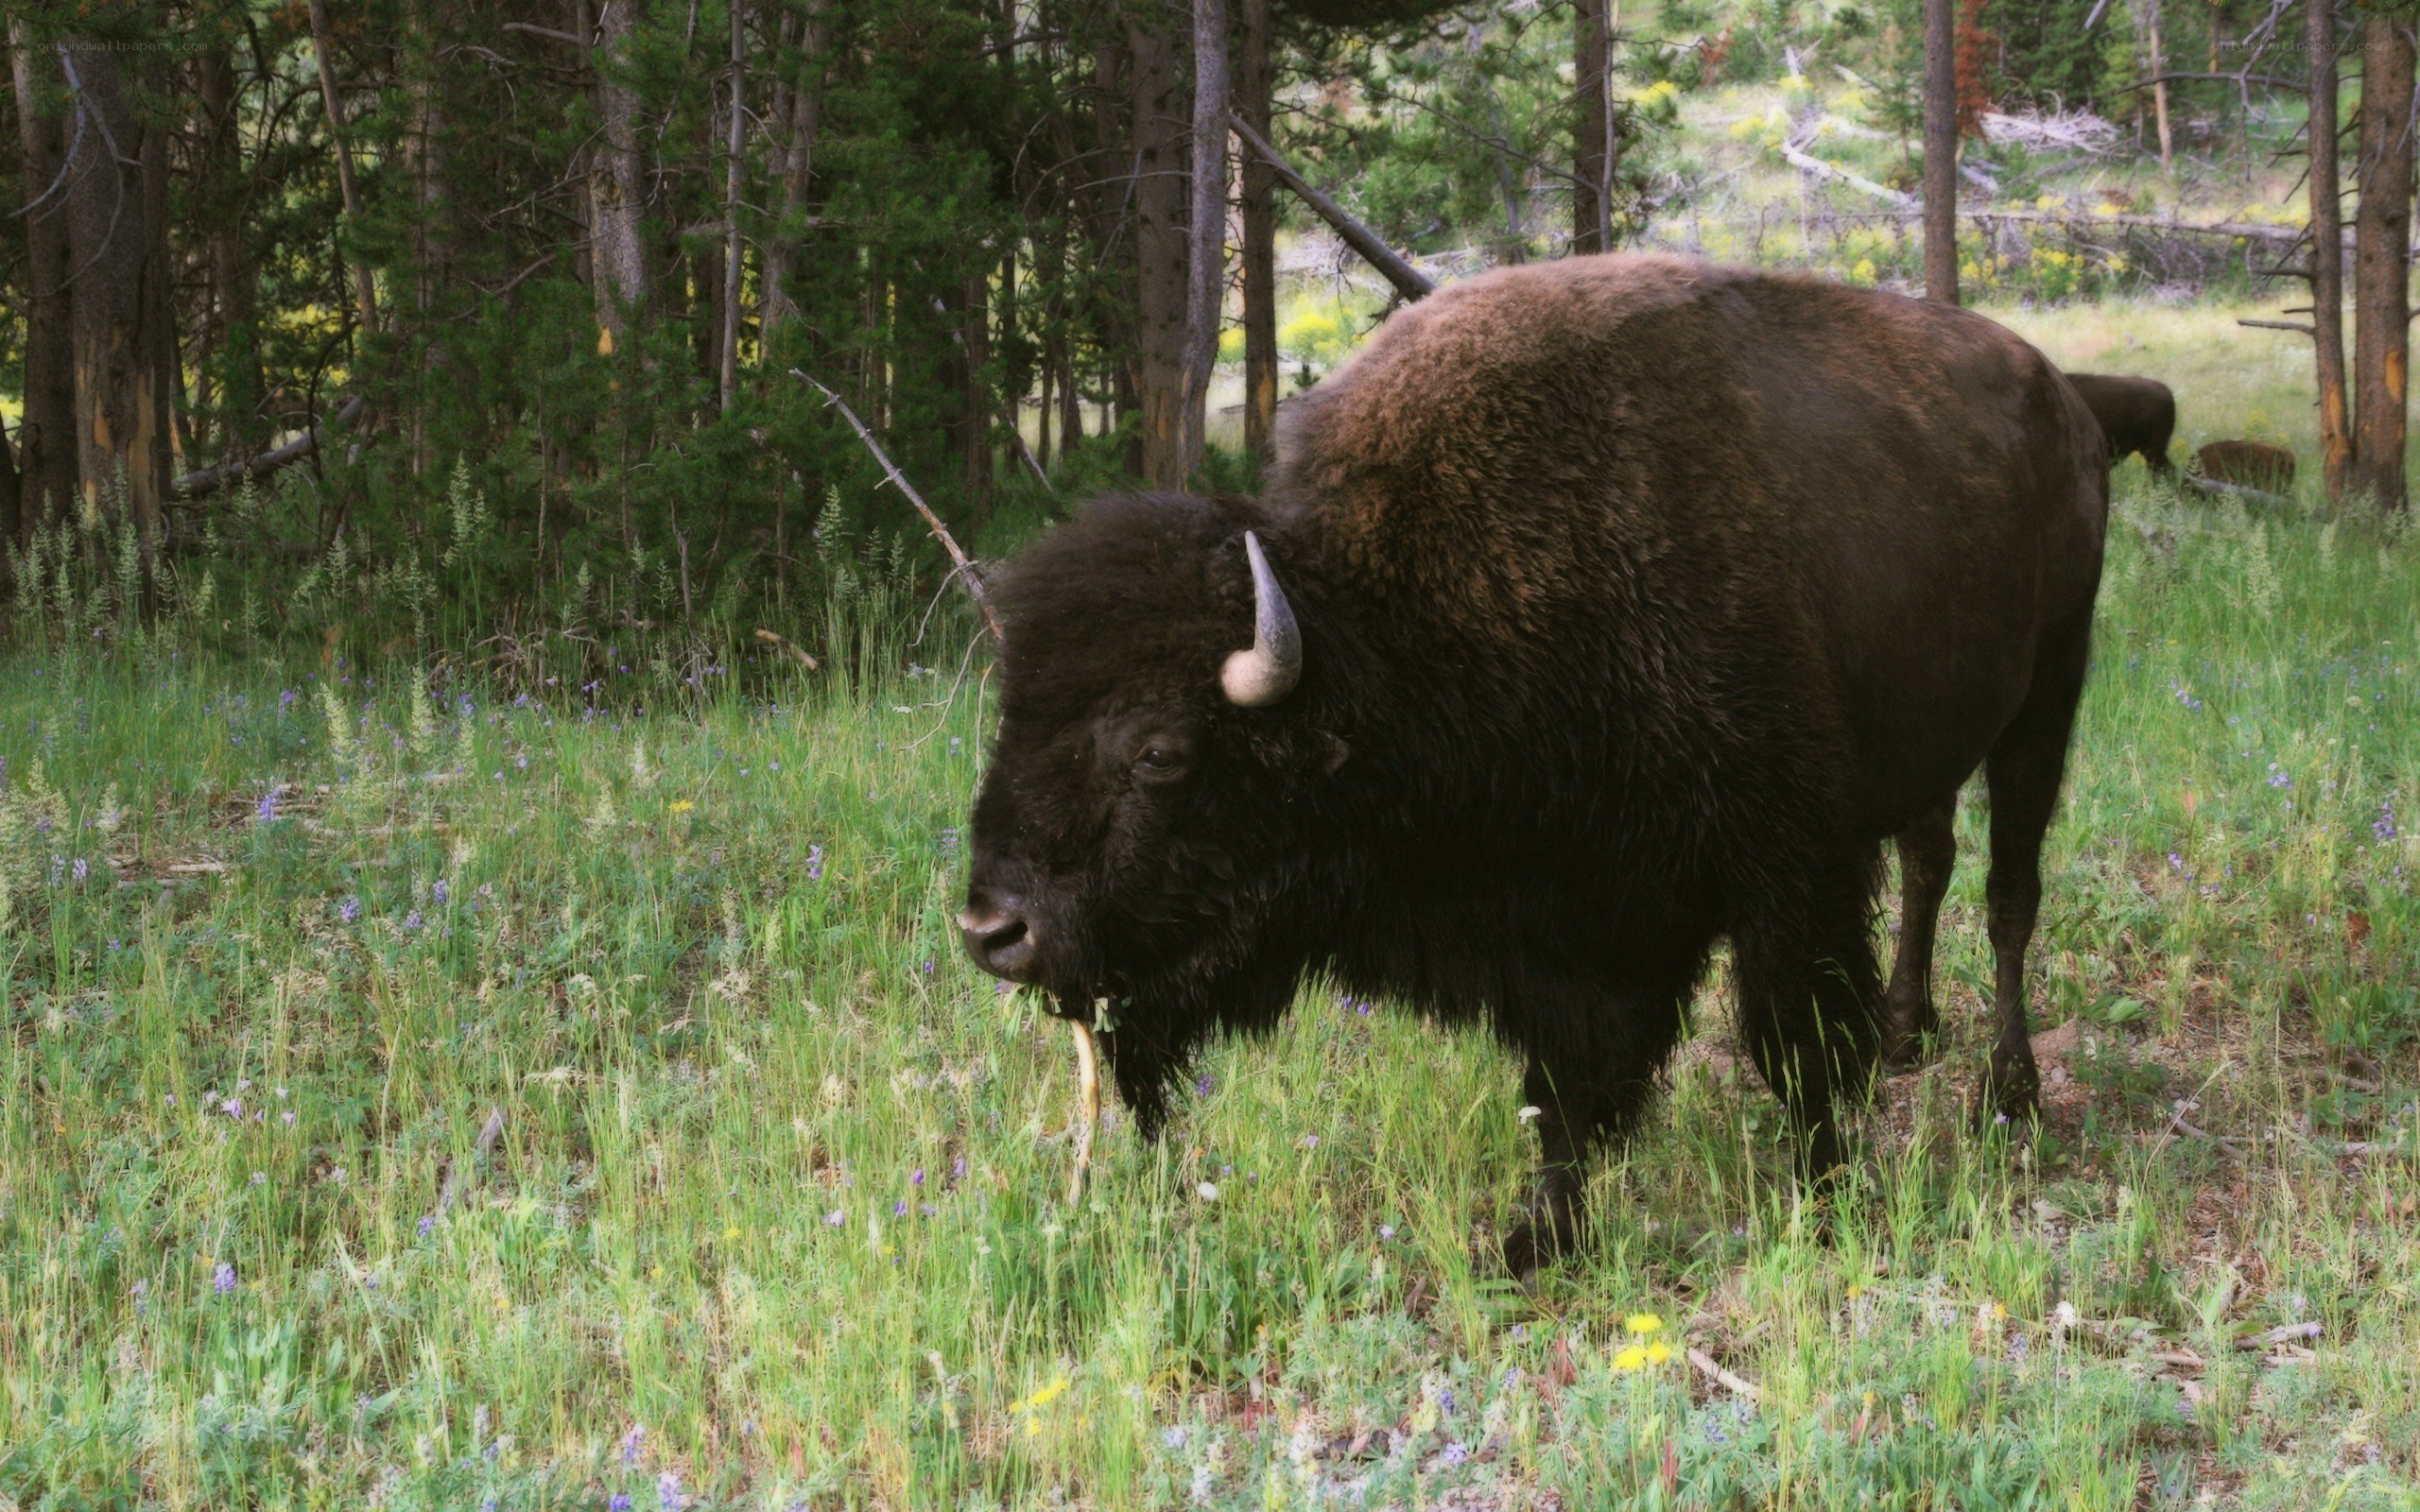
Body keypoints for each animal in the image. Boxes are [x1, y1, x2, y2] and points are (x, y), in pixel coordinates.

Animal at [960, 255, 2109, 1271]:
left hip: (2047, 696)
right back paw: (1916, 1033)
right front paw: (1537, 1241)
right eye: (1013, 716)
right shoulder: (1574, 924)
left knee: (2010, 896)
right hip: (1934, 744)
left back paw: (2009, 1094)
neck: (1397, 634)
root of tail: (2060, 396)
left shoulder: (1789, 874)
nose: (992, 931)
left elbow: (1800, 1043)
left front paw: (1826, 1198)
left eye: (1160, 752)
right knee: (1930, 860)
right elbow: (1568, 1090)